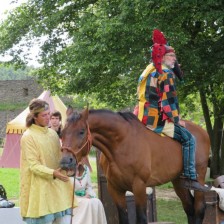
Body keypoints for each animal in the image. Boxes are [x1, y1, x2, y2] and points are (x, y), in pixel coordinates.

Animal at [60, 107, 211, 224]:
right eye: (61, 132)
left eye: (81, 131)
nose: (66, 161)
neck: (122, 144)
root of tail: (202, 132)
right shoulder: (115, 189)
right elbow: (123, 218)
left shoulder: (139, 187)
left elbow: (142, 218)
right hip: (178, 181)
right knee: (189, 209)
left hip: (199, 177)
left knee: (199, 209)